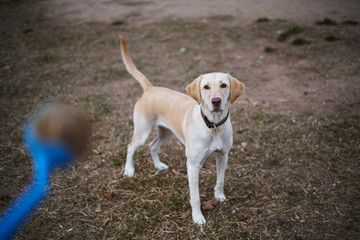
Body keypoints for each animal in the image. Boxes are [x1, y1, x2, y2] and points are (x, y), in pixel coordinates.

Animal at [118, 35, 245, 225]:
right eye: (206, 87)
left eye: (224, 85)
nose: (216, 101)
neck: (213, 125)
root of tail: (150, 88)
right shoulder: (192, 166)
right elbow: (195, 197)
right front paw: (197, 217)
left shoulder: (223, 156)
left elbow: (220, 180)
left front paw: (219, 196)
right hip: (143, 131)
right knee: (131, 147)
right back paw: (129, 170)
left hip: (166, 133)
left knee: (153, 146)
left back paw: (158, 165)